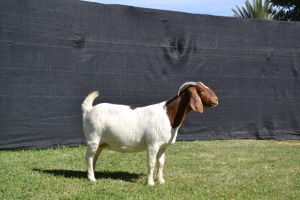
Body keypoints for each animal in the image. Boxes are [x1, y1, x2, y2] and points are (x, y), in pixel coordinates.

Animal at [82, 81, 218, 184]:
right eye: (201, 91)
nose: (216, 100)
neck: (168, 115)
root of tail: (88, 110)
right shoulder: (153, 144)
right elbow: (151, 163)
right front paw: (150, 182)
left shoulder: (163, 146)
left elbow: (161, 163)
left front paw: (161, 181)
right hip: (93, 139)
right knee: (89, 156)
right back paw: (92, 178)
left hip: (101, 143)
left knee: (94, 157)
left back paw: (92, 173)